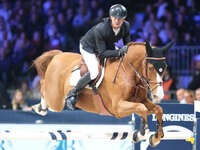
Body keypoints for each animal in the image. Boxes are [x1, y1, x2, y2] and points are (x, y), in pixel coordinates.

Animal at [32, 41, 174, 146]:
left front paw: (156, 137)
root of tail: (58, 56)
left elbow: (157, 109)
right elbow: (141, 108)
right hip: (55, 100)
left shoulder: (141, 100)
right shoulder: (118, 108)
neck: (128, 73)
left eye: (165, 67)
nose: (159, 95)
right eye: (150, 68)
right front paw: (141, 133)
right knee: (43, 85)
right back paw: (40, 108)